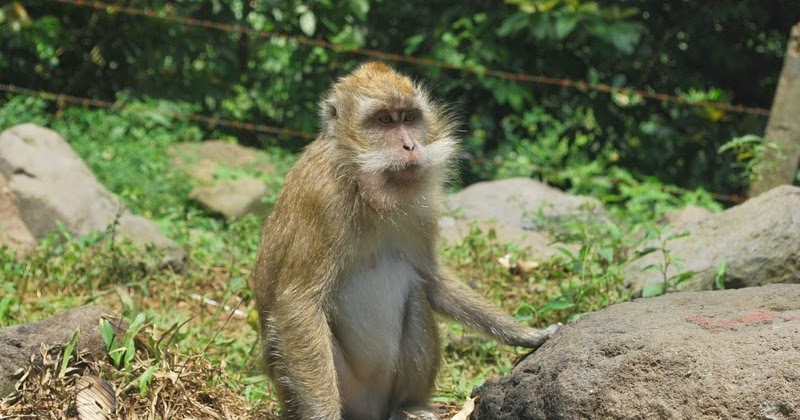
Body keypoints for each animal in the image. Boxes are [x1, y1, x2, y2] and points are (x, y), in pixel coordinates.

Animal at [252, 62, 559, 420]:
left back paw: (408, 405)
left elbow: (432, 280)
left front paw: (528, 334)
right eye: (384, 120)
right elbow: (298, 305)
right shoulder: (322, 199)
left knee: (416, 297)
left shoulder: (421, 210)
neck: (360, 184)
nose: (411, 146)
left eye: (409, 118)